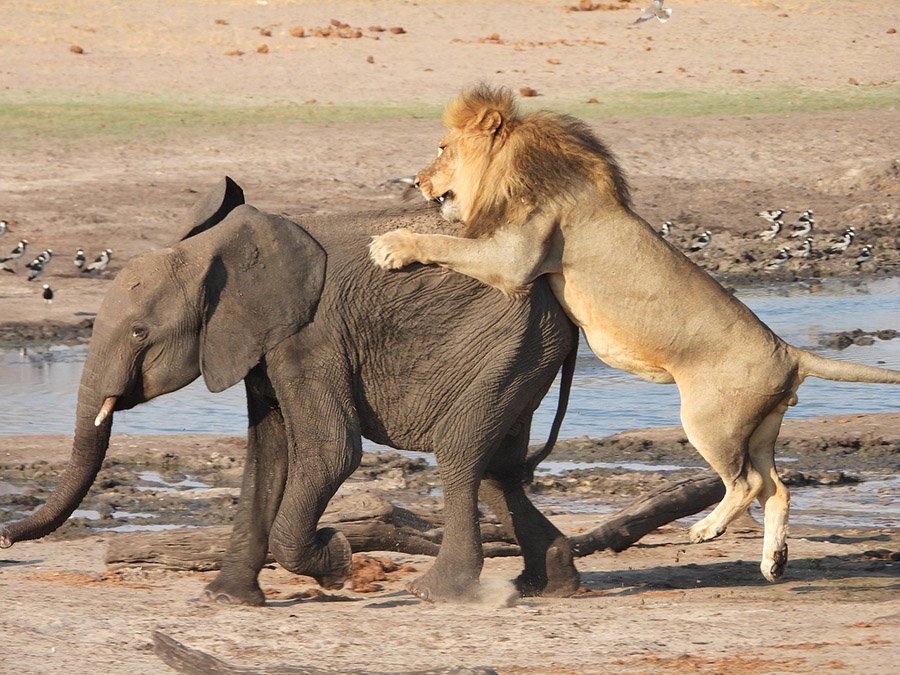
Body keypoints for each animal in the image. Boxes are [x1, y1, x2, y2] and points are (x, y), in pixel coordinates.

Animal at [0, 180, 576, 608]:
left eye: (141, 333)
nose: (5, 536)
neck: (214, 254)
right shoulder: (260, 343)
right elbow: (267, 455)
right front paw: (225, 601)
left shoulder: (311, 336)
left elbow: (330, 451)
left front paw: (337, 561)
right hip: (522, 354)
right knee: (497, 470)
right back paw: (550, 584)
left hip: (508, 343)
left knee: (460, 455)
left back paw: (439, 593)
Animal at [370, 83, 900, 580]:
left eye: (442, 148)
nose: (416, 180)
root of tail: (787, 350)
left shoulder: (514, 259)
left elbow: (446, 243)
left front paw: (392, 245)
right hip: (759, 429)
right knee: (777, 488)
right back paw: (774, 561)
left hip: (710, 422)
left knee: (748, 483)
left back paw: (706, 530)